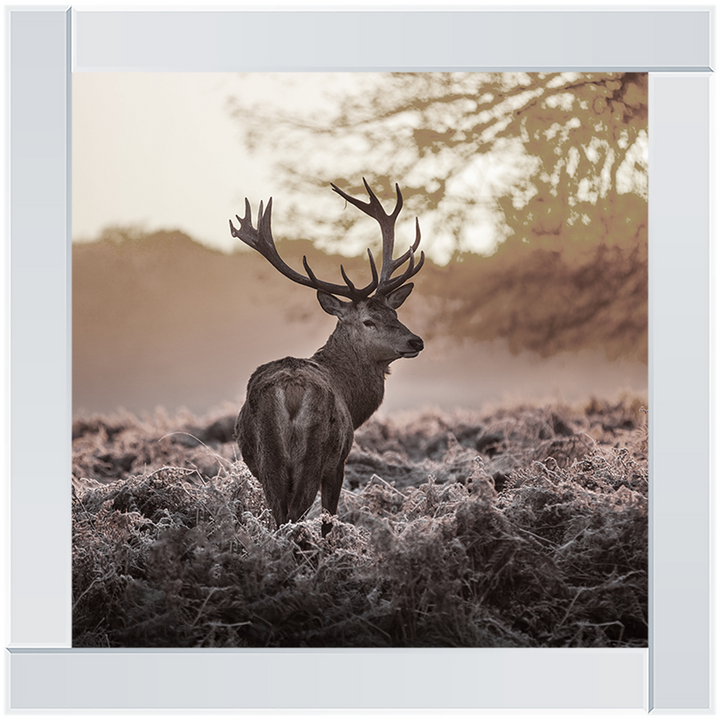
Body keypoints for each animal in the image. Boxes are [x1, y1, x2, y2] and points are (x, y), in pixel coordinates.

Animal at [230, 179, 425, 537]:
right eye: (368, 321)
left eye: (394, 313)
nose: (415, 340)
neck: (352, 398)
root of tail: (290, 390)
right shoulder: (339, 461)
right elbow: (328, 519)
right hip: (315, 453)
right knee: (295, 515)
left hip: (268, 459)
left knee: (279, 515)